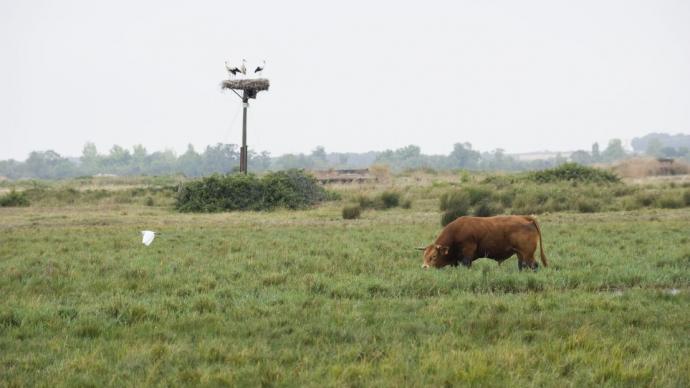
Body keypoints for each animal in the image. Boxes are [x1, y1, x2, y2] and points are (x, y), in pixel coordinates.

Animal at [416, 215, 544, 270]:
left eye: (434, 256)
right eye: (424, 256)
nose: (424, 267)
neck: (456, 232)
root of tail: (525, 218)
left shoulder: (467, 254)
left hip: (527, 254)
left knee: (534, 265)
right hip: (520, 254)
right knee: (522, 265)